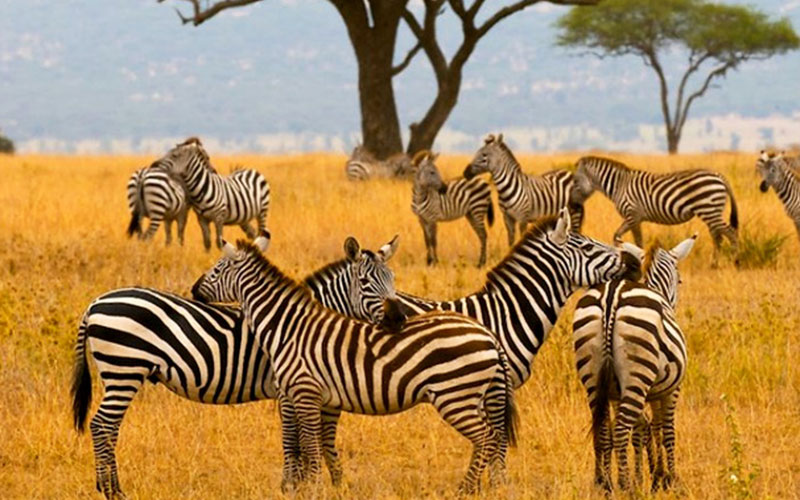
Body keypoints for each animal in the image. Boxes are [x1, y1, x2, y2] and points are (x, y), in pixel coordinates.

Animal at [69, 235, 404, 500]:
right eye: (366, 283)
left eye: (393, 278)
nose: (399, 319)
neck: (299, 323)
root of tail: (95, 303)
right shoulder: (287, 389)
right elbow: (293, 437)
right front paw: (292, 486)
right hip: (124, 370)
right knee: (102, 425)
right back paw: (113, 491)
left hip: (121, 373)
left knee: (108, 427)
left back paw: (107, 486)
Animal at [193, 233, 520, 492]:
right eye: (365, 282)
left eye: (217, 269)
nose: (194, 290)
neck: (288, 326)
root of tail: (487, 333)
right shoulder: (313, 397)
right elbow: (311, 442)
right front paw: (318, 485)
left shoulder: (305, 392)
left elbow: (308, 443)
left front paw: (313, 488)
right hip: (478, 395)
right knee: (492, 437)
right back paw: (478, 486)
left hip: (455, 396)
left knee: (487, 437)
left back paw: (465, 489)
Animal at [568, 154, 736, 260]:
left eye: (575, 182)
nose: (570, 204)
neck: (619, 185)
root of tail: (719, 175)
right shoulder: (634, 218)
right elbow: (623, 237)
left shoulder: (632, 215)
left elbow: (633, 240)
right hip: (711, 211)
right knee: (718, 236)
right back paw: (714, 264)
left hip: (709, 209)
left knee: (730, 233)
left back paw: (736, 261)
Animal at [572, 235, 696, 492]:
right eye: (679, 280)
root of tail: (611, 298)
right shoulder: (670, 389)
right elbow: (665, 430)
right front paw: (667, 477)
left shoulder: (617, 394)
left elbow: (644, 429)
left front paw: (649, 476)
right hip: (637, 377)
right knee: (620, 430)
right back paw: (625, 486)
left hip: (595, 379)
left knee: (603, 429)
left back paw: (605, 483)